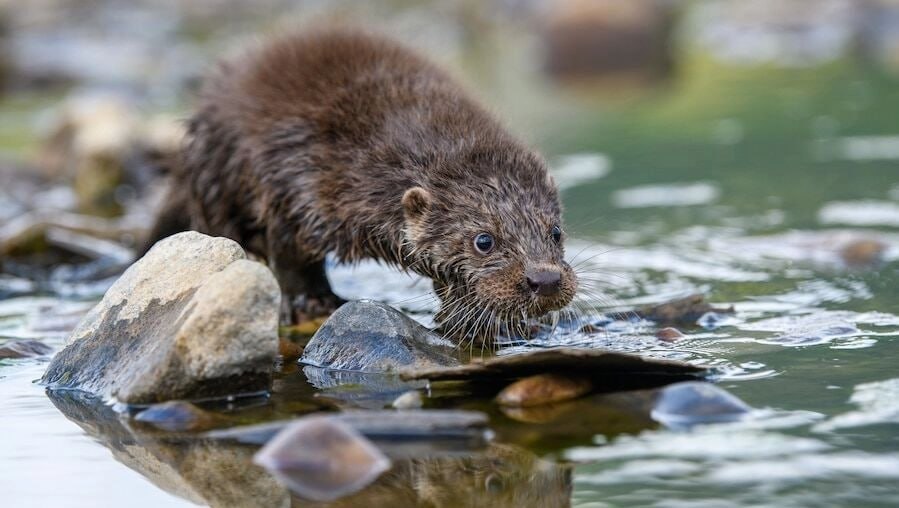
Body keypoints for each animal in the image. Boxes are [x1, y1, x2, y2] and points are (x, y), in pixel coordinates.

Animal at [142, 29, 576, 344]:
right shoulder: (293, 183)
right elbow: (290, 255)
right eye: (483, 241)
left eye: (556, 232)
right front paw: (311, 301)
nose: (545, 280)